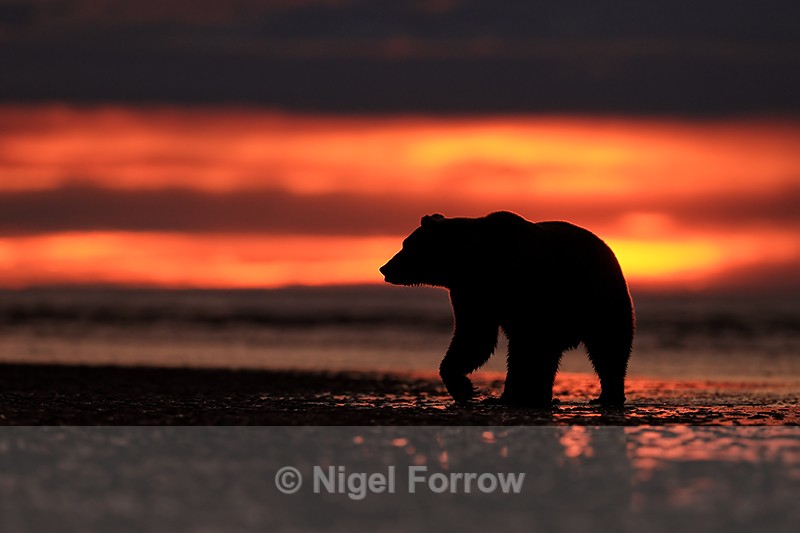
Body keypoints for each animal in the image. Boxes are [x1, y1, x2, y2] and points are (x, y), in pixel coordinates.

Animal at [379, 211, 634, 407]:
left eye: (406, 245)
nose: (385, 268)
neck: (475, 263)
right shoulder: (472, 294)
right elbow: (474, 337)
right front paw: (466, 388)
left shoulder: (522, 286)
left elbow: (521, 343)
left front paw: (477, 390)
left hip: (598, 299)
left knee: (607, 347)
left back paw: (606, 396)